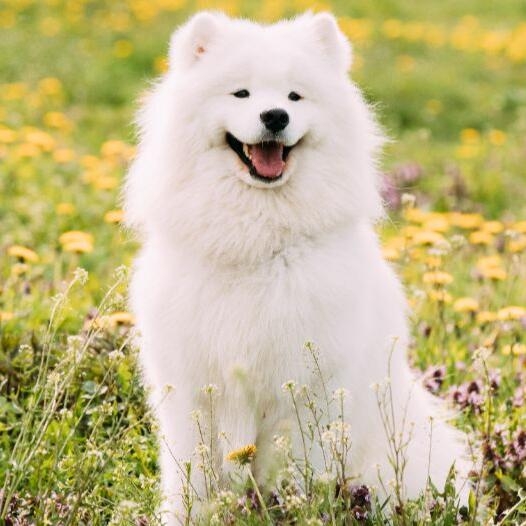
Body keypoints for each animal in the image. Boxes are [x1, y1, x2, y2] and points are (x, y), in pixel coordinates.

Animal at [125, 11, 474, 524]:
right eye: (241, 93)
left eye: (294, 96)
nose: (275, 116)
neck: (258, 240)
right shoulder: (193, 390)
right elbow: (194, 478)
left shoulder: (306, 392)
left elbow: (296, 472)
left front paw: (296, 509)